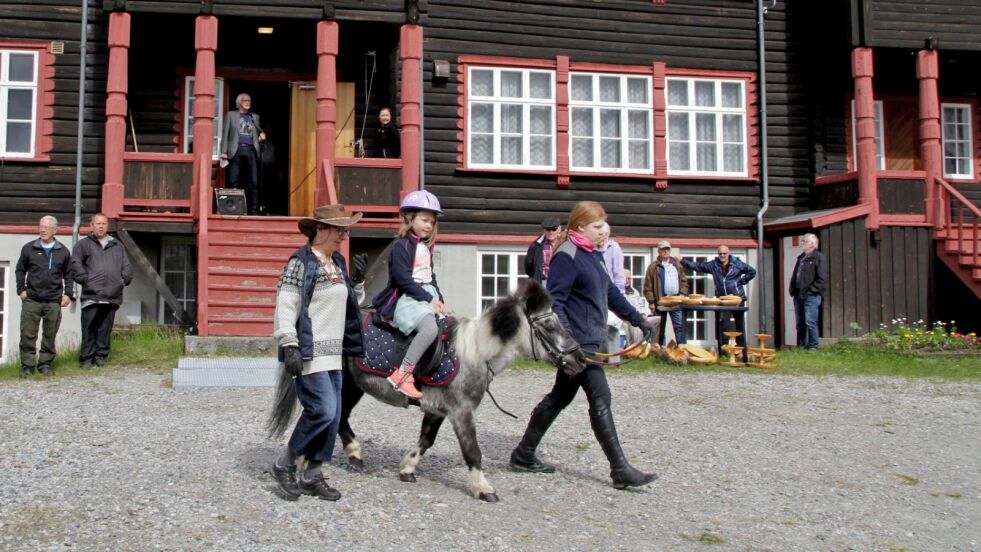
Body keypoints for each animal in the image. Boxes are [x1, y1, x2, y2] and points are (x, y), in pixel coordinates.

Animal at [266, 278, 580, 502]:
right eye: (550, 326)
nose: (580, 358)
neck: (475, 352)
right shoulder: (462, 411)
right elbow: (472, 451)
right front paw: (483, 488)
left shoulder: (438, 409)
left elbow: (426, 441)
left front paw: (407, 468)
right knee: (330, 416)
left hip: (352, 386)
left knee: (336, 417)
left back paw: (349, 455)